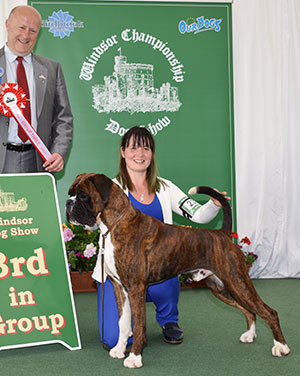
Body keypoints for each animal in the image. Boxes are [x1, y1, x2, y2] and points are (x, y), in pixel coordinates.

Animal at [67, 173, 290, 368]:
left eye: (83, 195)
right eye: (71, 192)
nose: (69, 202)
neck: (115, 224)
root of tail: (223, 233)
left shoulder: (136, 288)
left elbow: (138, 326)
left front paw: (135, 358)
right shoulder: (120, 289)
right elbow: (123, 324)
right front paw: (120, 350)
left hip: (237, 281)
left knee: (269, 311)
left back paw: (281, 347)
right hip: (221, 287)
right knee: (249, 310)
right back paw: (250, 335)